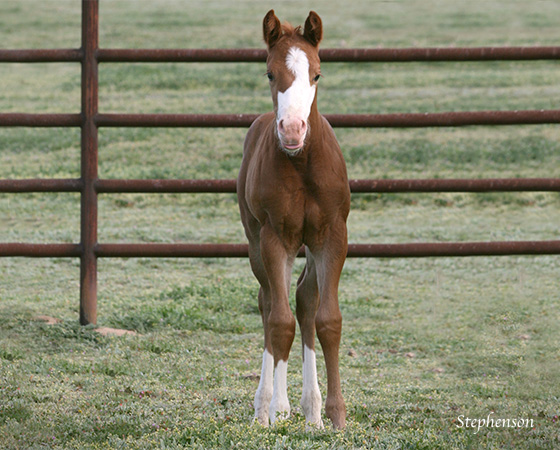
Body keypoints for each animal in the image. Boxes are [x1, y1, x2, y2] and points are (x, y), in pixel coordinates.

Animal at [236, 8, 350, 428]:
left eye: (316, 73)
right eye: (270, 73)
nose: (292, 129)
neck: (301, 163)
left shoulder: (332, 236)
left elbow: (327, 320)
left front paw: (335, 415)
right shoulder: (274, 238)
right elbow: (278, 321)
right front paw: (270, 409)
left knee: (303, 301)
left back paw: (310, 410)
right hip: (257, 243)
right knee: (270, 303)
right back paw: (273, 405)